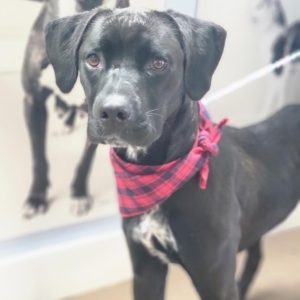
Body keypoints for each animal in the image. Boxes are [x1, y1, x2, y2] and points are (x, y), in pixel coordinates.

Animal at [44, 7, 300, 300]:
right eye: (93, 59)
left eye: (159, 63)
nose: (113, 111)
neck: (159, 173)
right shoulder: (146, 270)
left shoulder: (215, 277)